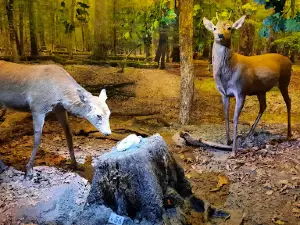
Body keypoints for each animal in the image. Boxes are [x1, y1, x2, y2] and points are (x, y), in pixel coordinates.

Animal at [203, 13, 292, 155]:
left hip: (284, 81)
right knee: (263, 106)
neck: (226, 76)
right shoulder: (224, 93)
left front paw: (233, 151)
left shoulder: (241, 90)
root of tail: (290, 61)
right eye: (215, 28)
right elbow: (226, 116)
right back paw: (250, 133)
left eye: (229, 28)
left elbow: (235, 118)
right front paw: (227, 141)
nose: (220, 35)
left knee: (288, 101)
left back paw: (289, 134)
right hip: (261, 90)